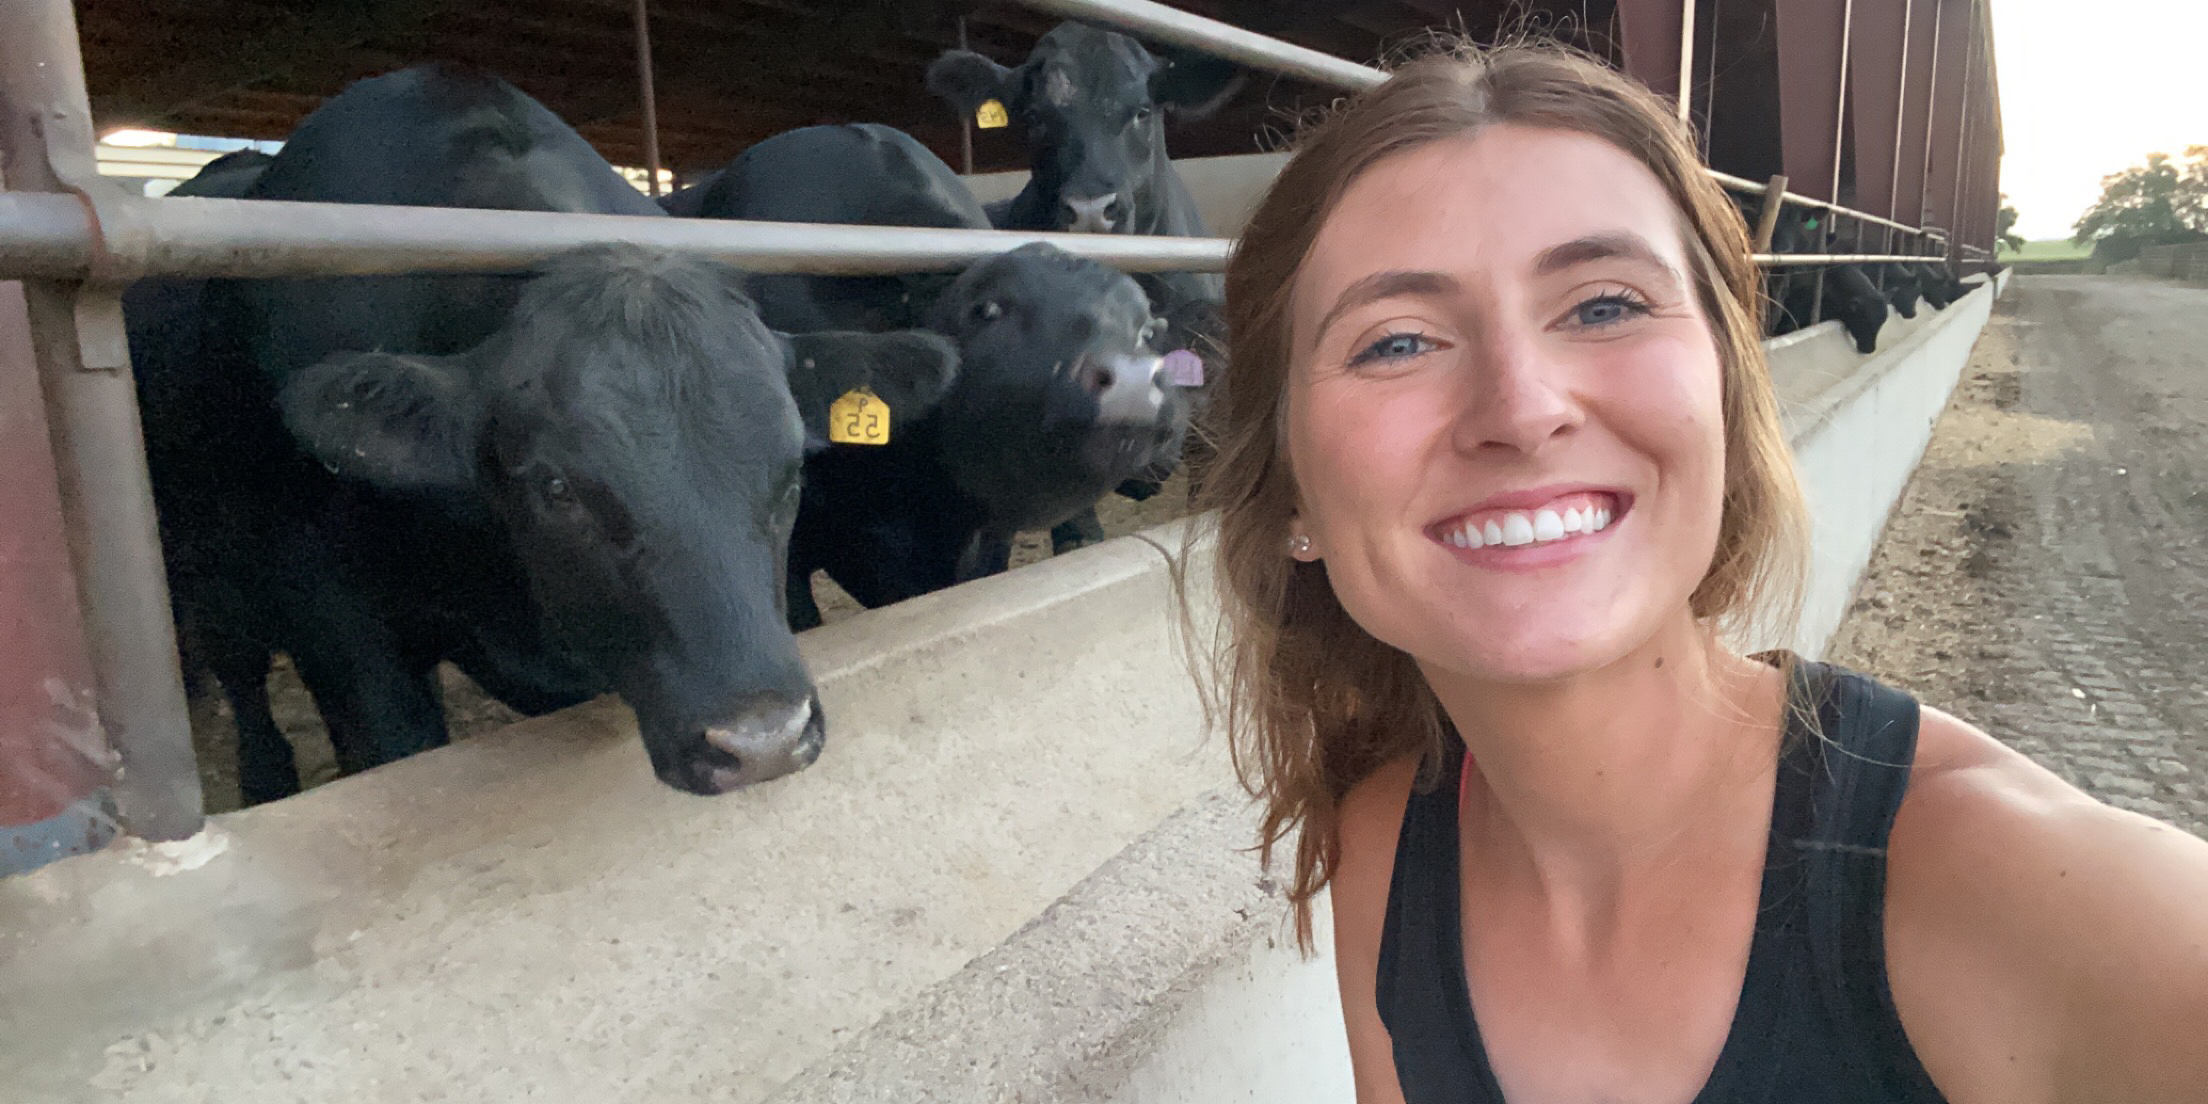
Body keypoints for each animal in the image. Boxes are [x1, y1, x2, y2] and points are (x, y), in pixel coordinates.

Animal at [133, 64, 953, 799]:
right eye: (556, 487)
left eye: (792, 470)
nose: (763, 741)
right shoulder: (341, 634)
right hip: (207, 576)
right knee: (240, 681)